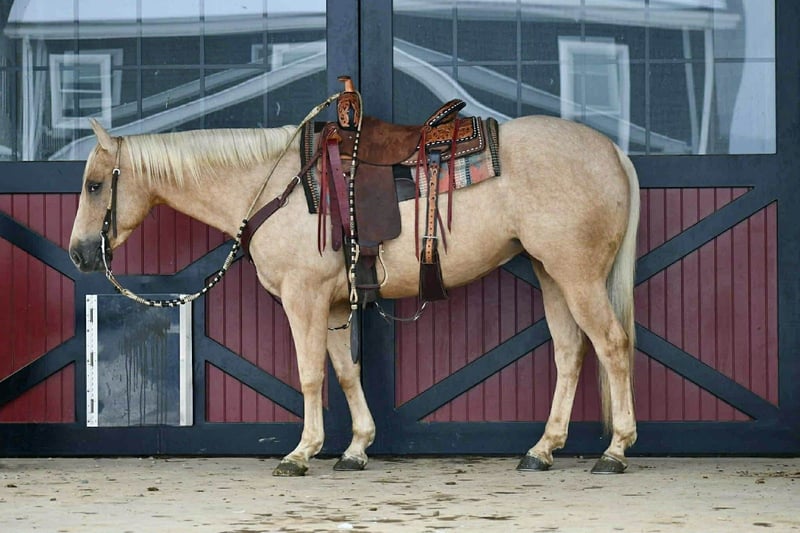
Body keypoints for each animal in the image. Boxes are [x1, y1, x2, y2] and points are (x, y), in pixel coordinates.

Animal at [69, 109, 640, 476]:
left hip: (577, 275)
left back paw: (615, 451)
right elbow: (345, 372)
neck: (274, 184)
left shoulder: (302, 298)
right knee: (570, 352)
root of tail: (612, 151)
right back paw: (542, 450)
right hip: (551, 273)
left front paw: (302, 453)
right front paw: (356, 449)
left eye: (95, 185)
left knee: (612, 346)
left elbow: (310, 374)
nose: (79, 254)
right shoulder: (334, 303)